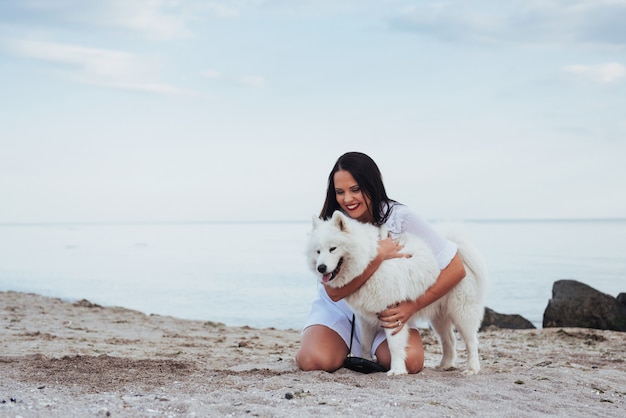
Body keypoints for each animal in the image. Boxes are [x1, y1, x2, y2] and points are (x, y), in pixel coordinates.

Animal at [304, 211, 486, 378]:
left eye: (332, 249)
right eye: (318, 251)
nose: (321, 268)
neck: (370, 264)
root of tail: (457, 251)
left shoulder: (391, 314)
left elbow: (394, 346)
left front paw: (397, 370)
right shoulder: (364, 319)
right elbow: (365, 344)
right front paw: (364, 362)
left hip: (462, 313)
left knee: (471, 341)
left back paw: (472, 368)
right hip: (439, 316)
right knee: (449, 339)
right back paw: (445, 365)